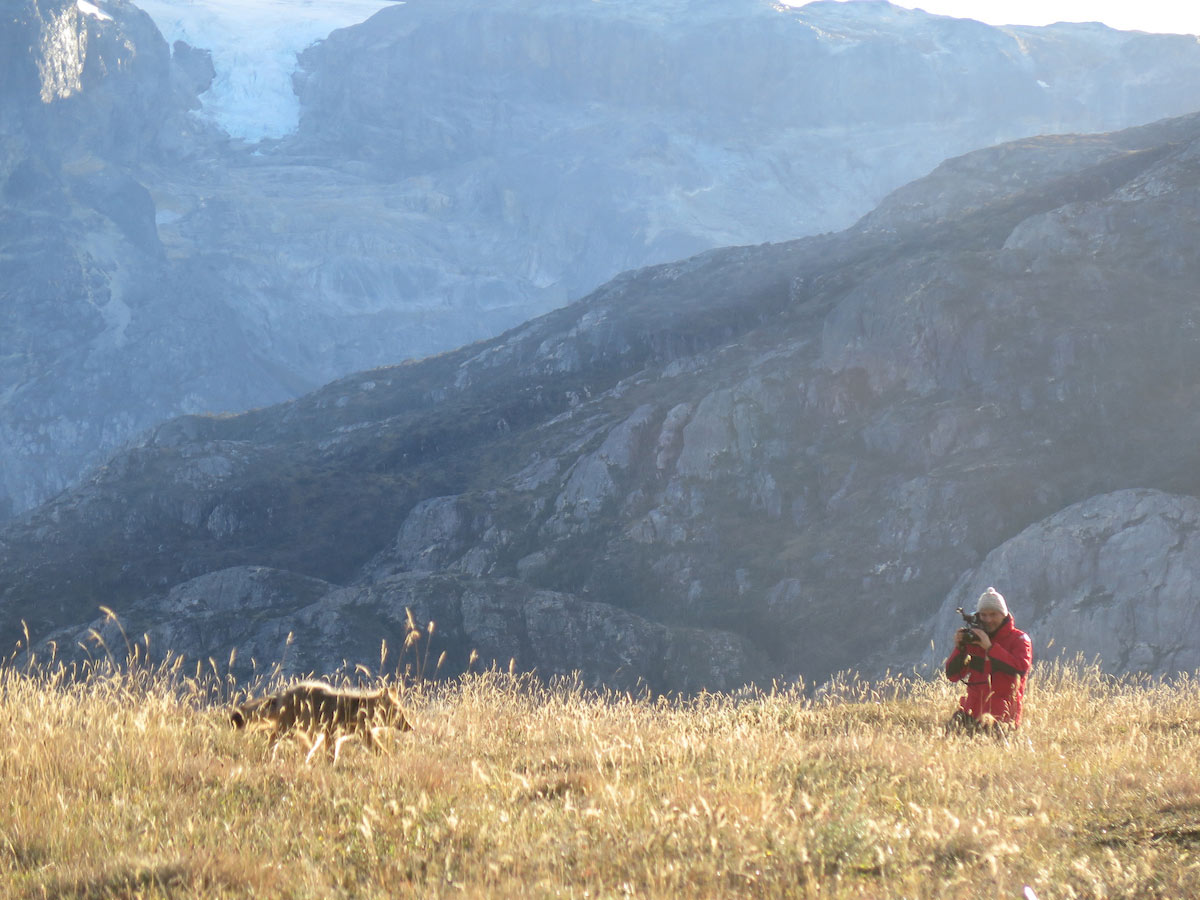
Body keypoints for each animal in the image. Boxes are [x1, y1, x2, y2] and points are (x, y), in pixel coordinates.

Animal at [231, 681, 415, 763]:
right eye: (400, 714)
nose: (411, 727)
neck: (358, 711)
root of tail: (283, 693)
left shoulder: (360, 735)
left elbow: (380, 750)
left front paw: (390, 760)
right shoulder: (331, 734)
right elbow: (330, 755)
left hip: (305, 734)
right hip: (288, 730)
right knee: (272, 740)